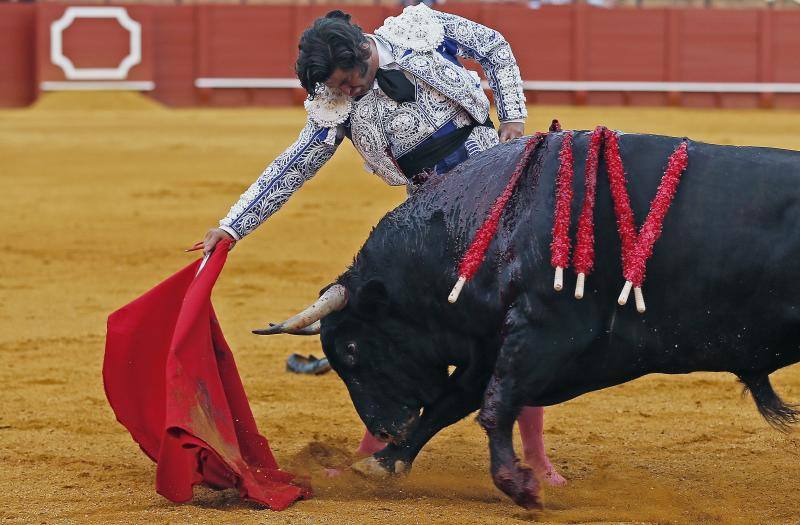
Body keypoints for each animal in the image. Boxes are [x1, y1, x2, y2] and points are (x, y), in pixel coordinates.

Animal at [266, 132, 796, 508]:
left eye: (352, 350)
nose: (384, 428)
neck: (497, 222)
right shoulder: (493, 342)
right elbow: (450, 403)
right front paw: (382, 464)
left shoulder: (547, 331)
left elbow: (493, 404)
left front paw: (519, 486)